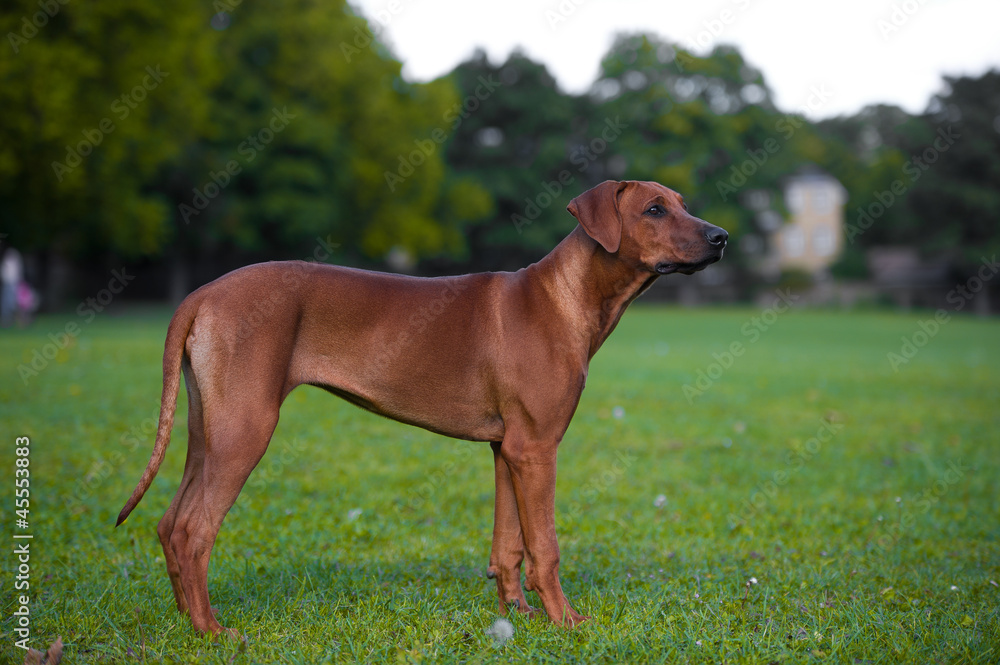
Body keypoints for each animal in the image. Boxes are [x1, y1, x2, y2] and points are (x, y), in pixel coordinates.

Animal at [117, 179, 728, 636]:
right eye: (654, 209)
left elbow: (509, 545)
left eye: (683, 203)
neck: (566, 296)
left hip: (208, 430)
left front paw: (520, 615)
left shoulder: (508, 449)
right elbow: (546, 546)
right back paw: (212, 631)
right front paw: (566, 621)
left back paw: (187, 619)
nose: (722, 236)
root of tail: (202, 294)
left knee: (170, 524)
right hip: (245, 430)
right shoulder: (537, 449)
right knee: (194, 530)